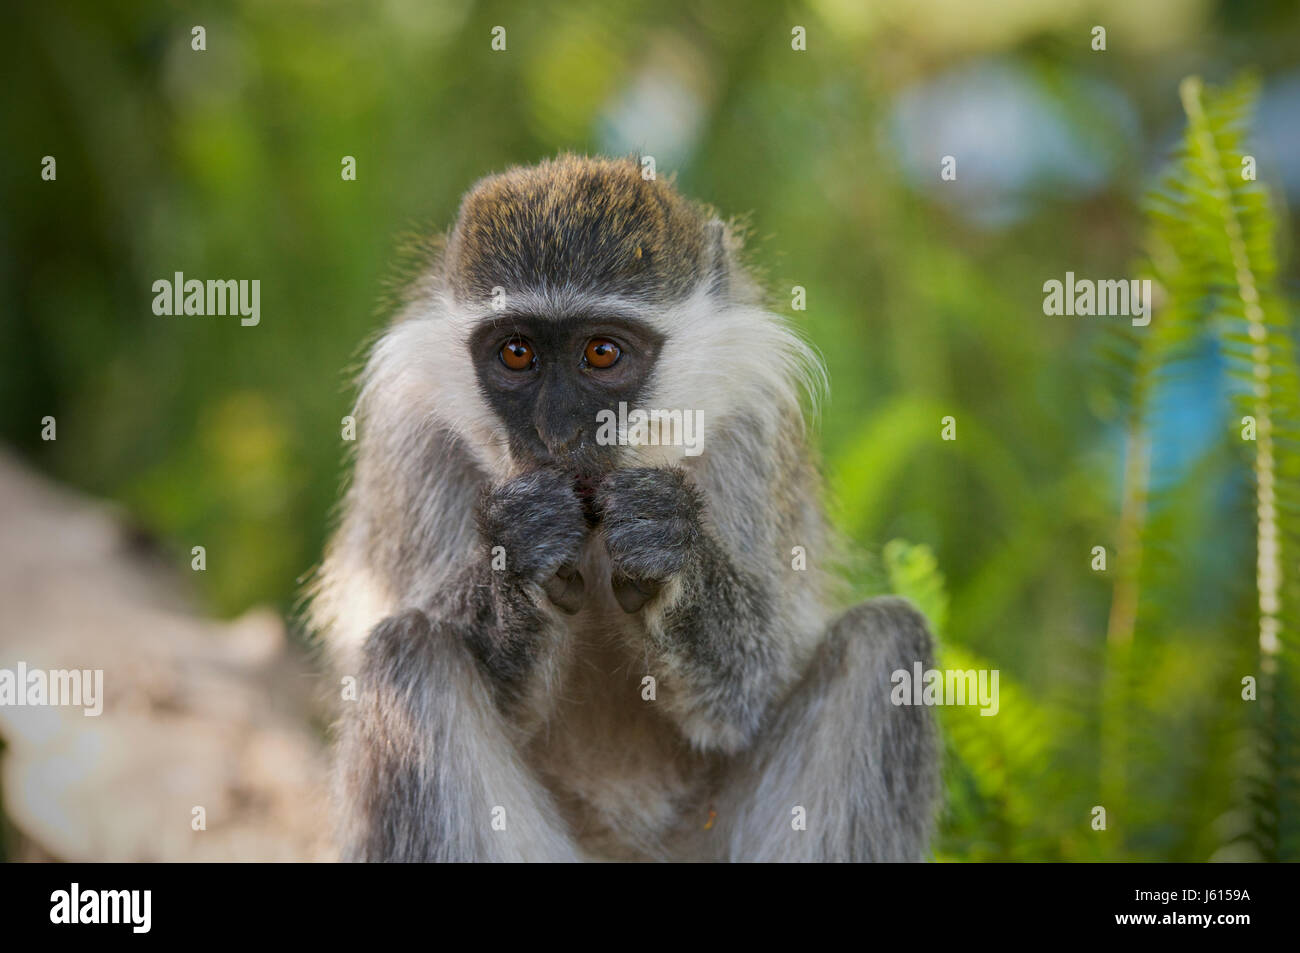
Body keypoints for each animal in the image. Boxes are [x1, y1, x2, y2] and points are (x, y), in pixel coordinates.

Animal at [309, 154, 939, 862]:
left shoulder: (754, 425)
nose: (557, 434)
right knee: (406, 652)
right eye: (517, 352)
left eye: (602, 352)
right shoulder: (409, 432)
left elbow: (747, 694)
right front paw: (520, 548)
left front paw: (671, 549)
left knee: (888, 639)